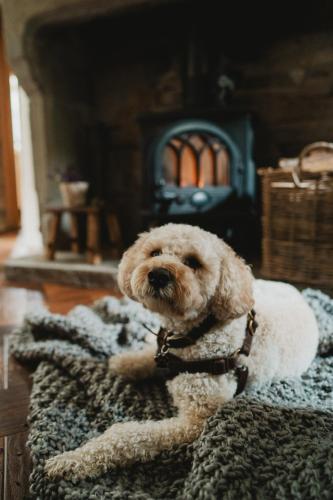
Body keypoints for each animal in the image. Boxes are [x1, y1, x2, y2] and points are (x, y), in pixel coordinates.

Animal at [45, 223, 318, 476]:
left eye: (193, 262)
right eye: (154, 252)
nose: (158, 274)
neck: (195, 333)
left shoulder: (195, 421)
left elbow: (128, 435)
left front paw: (74, 460)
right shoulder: (166, 351)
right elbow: (148, 357)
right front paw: (125, 362)